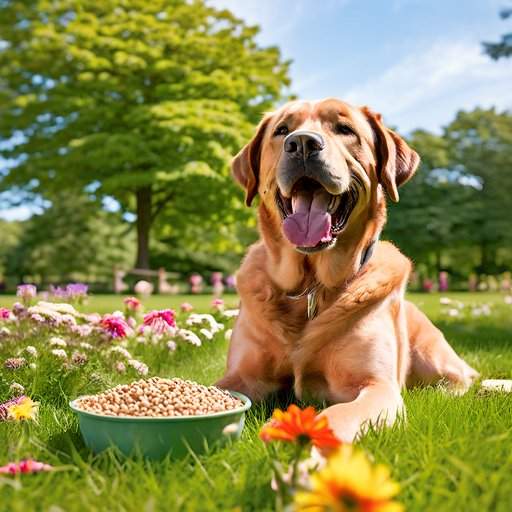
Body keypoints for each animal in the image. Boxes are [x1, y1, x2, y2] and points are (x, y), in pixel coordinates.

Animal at [215, 99, 476, 440]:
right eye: (282, 130)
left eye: (345, 129)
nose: (302, 144)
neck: (311, 285)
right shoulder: (242, 375)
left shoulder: (376, 386)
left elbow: (339, 413)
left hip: (435, 358)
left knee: (463, 379)